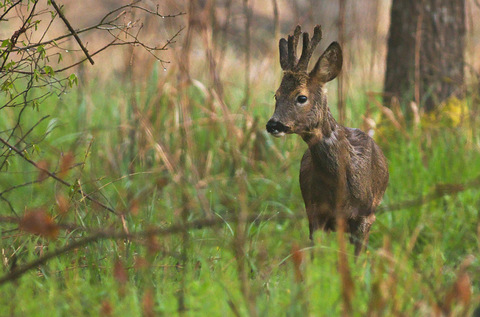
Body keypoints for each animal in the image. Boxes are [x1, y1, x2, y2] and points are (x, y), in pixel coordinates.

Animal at [266, 25, 390, 256]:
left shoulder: (365, 216)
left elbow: (358, 258)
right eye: (276, 95)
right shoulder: (314, 211)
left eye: (301, 97)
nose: (273, 124)